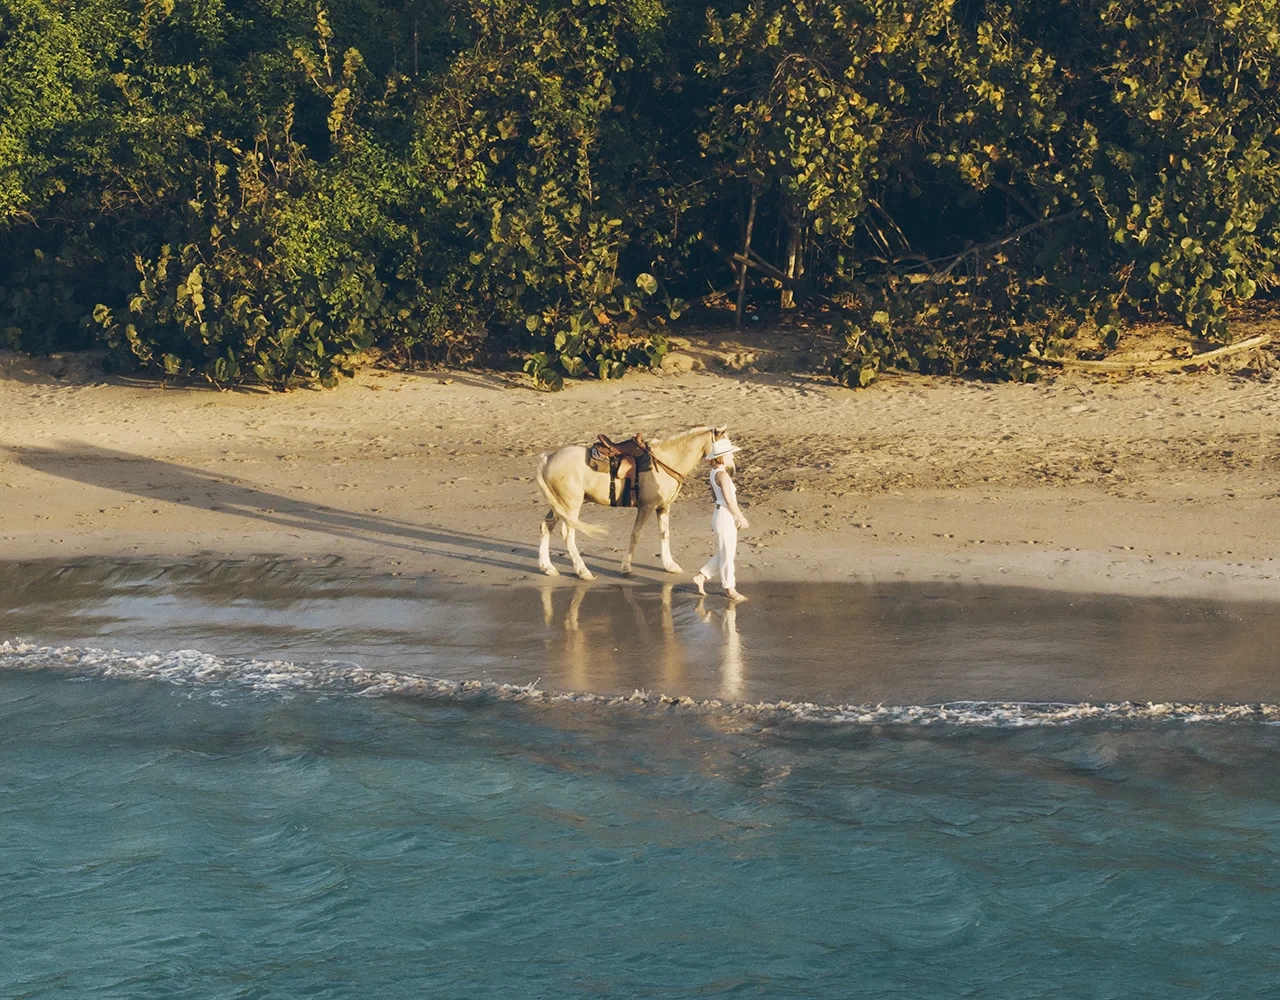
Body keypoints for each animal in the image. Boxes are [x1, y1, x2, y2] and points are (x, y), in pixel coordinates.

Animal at [537, 427, 742, 581]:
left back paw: (547, 567)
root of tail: (548, 459)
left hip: (559, 506)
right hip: (570, 505)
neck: (666, 461)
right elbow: (635, 535)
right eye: (725, 447)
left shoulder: (663, 507)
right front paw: (626, 567)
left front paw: (670, 565)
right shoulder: (646, 507)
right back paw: (583, 571)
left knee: (546, 526)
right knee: (567, 534)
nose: (731, 471)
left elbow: (665, 534)